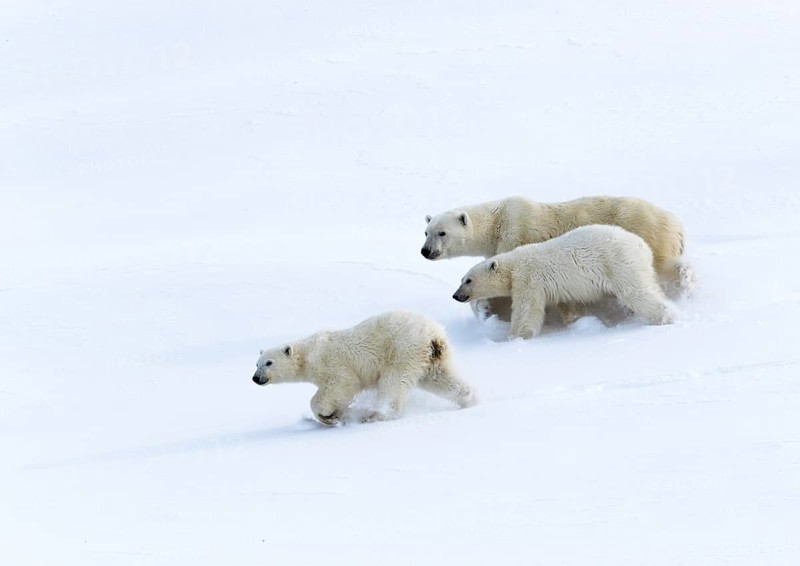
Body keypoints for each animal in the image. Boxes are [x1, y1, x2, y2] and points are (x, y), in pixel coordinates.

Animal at [252, 311, 476, 425]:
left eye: (268, 362)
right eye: (256, 363)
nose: (255, 378)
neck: (308, 353)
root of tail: (434, 336)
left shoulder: (332, 364)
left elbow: (339, 386)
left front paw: (329, 416)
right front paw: (335, 415)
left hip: (403, 350)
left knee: (393, 383)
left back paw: (375, 414)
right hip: (431, 359)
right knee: (442, 378)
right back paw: (469, 399)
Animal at [422, 195, 692, 321]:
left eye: (442, 232)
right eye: (426, 232)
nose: (425, 251)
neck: (497, 222)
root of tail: (677, 223)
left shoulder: (517, 234)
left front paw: (488, 309)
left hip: (648, 234)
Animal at [451, 225, 674, 340]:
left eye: (468, 280)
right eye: (461, 279)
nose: (455, 295)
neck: (513, 264)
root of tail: (642, 246)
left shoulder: (528, 279)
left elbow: (527, 309)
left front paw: (515, 338)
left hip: (619, 263)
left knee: (635, 292)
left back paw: (665, 317)